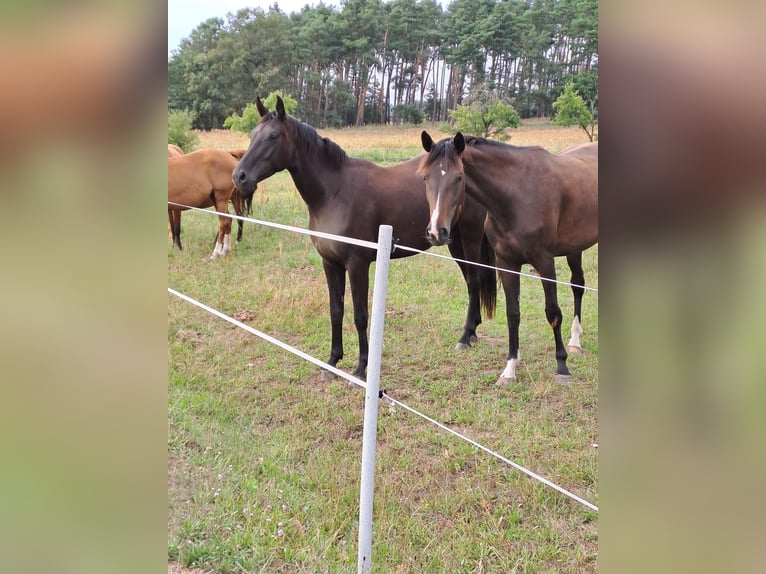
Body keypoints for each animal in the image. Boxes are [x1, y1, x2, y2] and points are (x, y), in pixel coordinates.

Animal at [232, 97, 498, 380]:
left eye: (273, 136)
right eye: (252, 135)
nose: (239, 176)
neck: (334, 193)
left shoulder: (357, 264)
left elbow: (360, 315)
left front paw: (361, 368)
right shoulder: (330, 263)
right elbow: (336, 310)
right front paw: (332, 362)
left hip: (469, 236)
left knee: (475, 279)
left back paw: (465, 337)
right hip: (452, 240)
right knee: (471, 281)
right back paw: (472, 332)